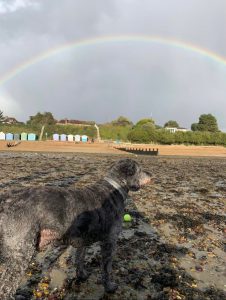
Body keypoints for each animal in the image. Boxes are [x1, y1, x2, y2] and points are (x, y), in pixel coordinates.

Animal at [0, 158, 152, 298]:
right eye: (139, 169)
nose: (151, 174)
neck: (114, 188)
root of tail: (6, 200)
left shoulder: (82, 238)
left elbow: (80, 259)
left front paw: (82, 275)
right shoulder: (110, 241)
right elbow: (107, 269)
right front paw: (109, 287)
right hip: (20, 252)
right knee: (6, 287)